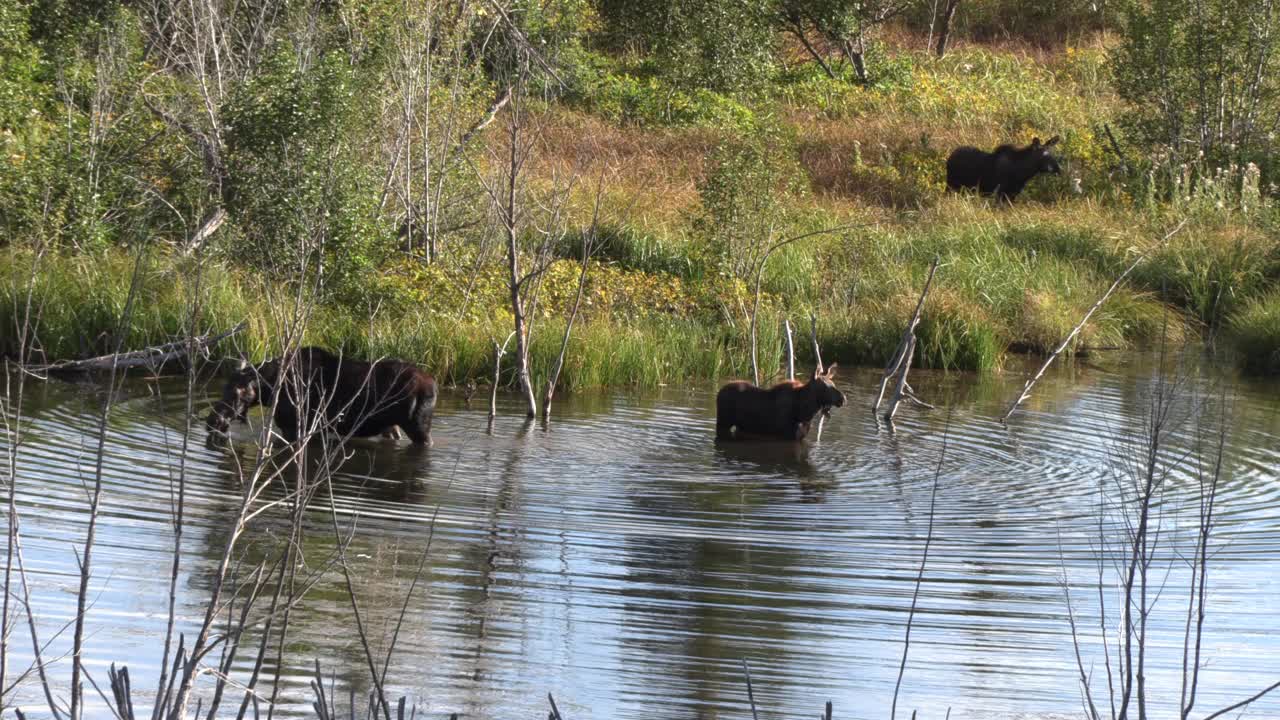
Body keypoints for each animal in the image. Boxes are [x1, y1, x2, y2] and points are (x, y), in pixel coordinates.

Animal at [204, 345, 435, 443]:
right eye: (224, 387)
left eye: (237, 391)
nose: (212, 421)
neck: (270, 390)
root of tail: (434, 385)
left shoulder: (295, 428)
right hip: (391, 425)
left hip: (418, 426)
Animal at [716, 366, 844, 440]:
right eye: (824, 387)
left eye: (833, 384)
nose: (843, 398)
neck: (804, 413)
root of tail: (719, 393)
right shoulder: (786, 435)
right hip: (723, 422)